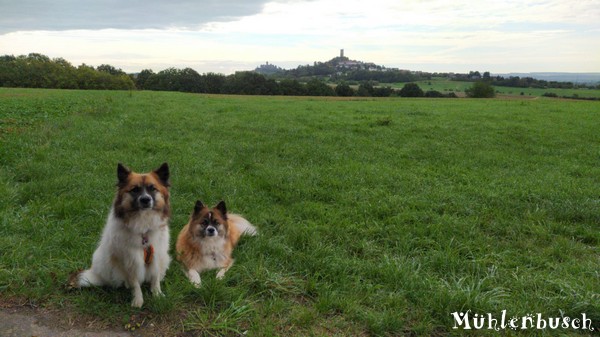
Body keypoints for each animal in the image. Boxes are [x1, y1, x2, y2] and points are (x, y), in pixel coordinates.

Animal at [70, 163, 173, 308]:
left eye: (153, 188)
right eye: (135, 190)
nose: (145, 200)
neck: (143, 228)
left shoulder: (157, 255)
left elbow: (155, 277)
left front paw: (157, 295)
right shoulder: (129, 260)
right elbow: (135, 284)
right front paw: (137, 301)